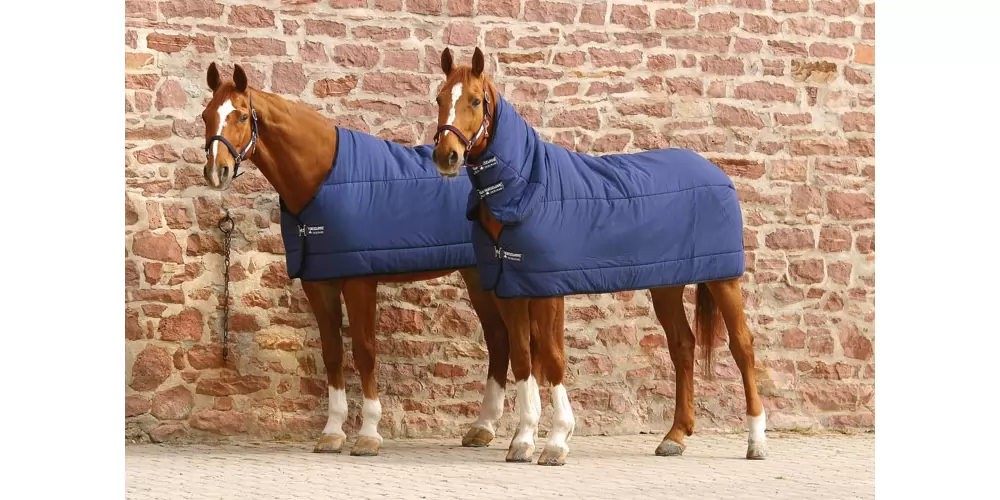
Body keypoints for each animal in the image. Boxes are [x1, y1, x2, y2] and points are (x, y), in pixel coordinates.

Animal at [198, 62, 512, 457]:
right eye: (206, 115)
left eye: (241, 115)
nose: (216, 171)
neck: (322, 178)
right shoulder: (318, 282)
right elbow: (332, 352)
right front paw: (332, 432)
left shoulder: (360, 280)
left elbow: (364, 350)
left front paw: (369, 434)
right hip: (477, 276)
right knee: (500, 339)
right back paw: (483, 428)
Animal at [428, 47, 768, 465]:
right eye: (440, 98)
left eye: (475, 101)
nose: (446, 156)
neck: (527, 190)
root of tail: (718, 173)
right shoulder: (510, 288)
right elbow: (523, 358)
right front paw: (523, 440)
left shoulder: (547, 289)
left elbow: (552, 358)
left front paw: (557, 441)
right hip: (666, 284)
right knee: (682, 346)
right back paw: (675, 436)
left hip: (723, 278)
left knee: (742, 346)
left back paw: (756, 441)